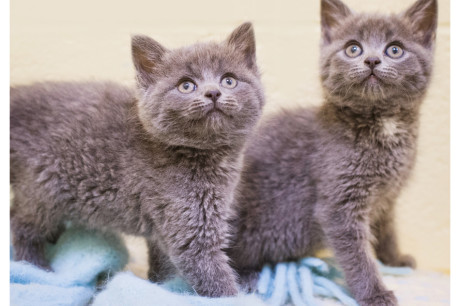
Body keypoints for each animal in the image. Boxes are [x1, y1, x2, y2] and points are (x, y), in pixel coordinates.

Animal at [9, 22, 266, 298]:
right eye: (186, 86)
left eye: (229, 80)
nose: (213, 92)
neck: (205, 156)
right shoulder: (188, 224)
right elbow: (214, 277)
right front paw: (235, 296)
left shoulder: (164, 226)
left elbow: (162, 262)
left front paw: (159, 284)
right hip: (41, 190)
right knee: (21, 223)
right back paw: (36, 267)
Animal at [228, 1, 436, 304]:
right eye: (353, 48)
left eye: (395, 49)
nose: (372, 61)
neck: (381, 125)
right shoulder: (339, 203)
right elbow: (357, 256)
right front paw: (375, 293)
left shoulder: (387, 197)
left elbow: (387, 229)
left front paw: (394, 259)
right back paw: (247, 277)